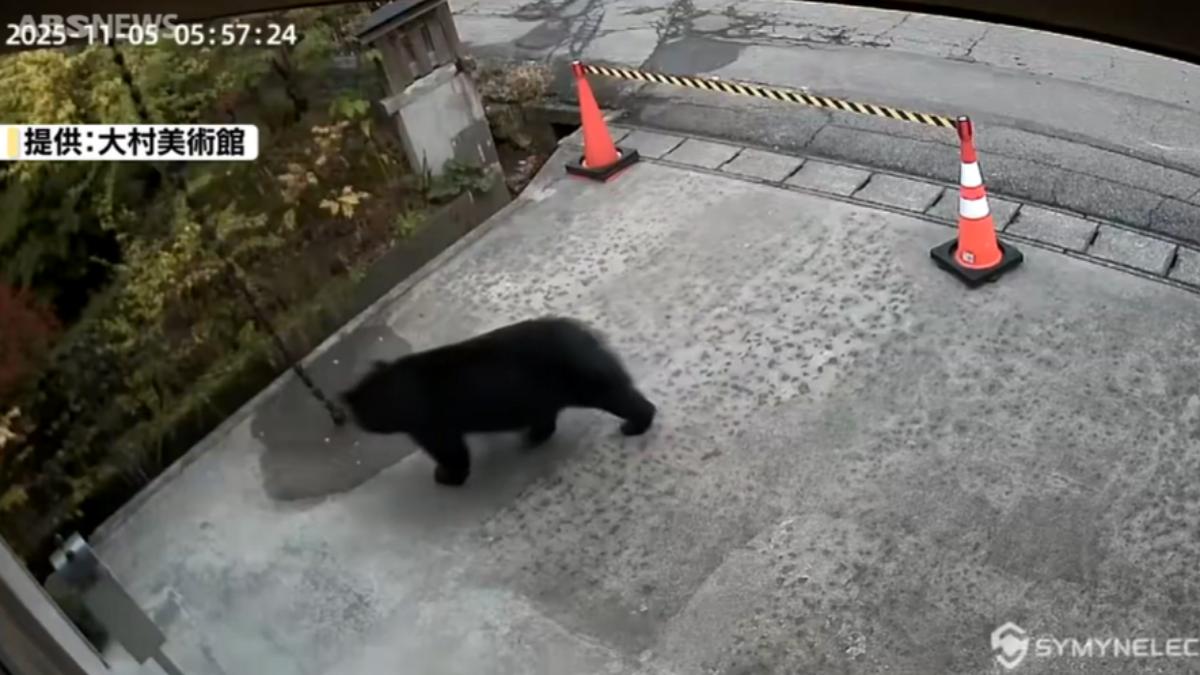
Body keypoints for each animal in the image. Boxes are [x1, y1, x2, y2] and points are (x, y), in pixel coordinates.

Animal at [339, 317, 657, 486]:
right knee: (546, 416)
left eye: (361, 414)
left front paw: (446, 475)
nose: (354, 419)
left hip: (579, 377)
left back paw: (635, 423)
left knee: (617, 396)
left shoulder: (430, 422)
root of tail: (587, 335)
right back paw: (532, 436)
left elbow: (450, 450)